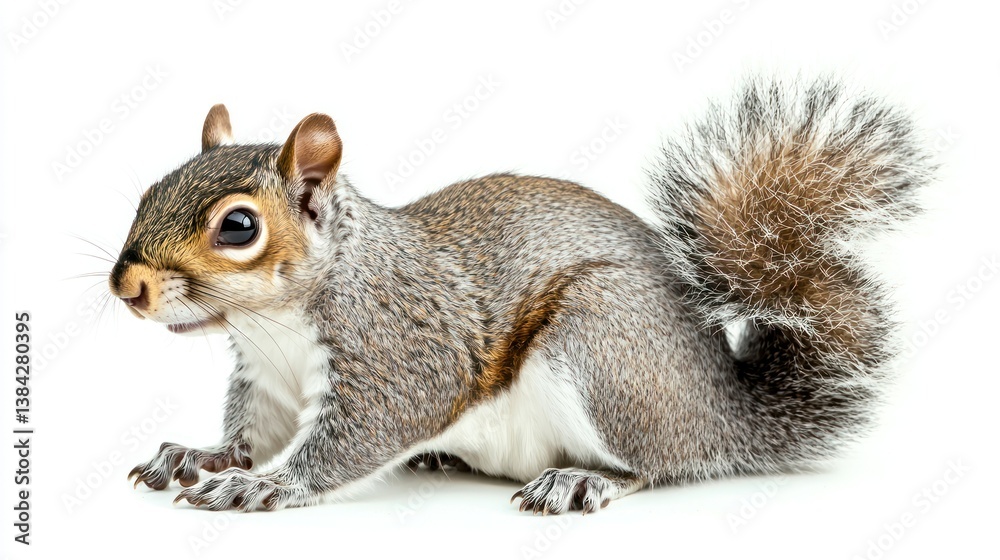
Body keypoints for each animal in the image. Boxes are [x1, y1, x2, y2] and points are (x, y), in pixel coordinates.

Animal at [111, 76, 931, 513]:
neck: (271, 322)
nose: (127, 286)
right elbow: (252, 431)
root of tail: (726, 410)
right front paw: (202, 456)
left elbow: (358, 436)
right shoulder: (267, 380)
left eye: (238, 226)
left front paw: (263, 488)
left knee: (661, 464)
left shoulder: (397, 350)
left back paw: (582, 479)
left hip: (603, 345)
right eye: (149, 189)